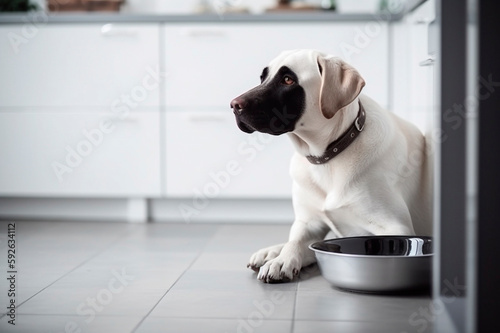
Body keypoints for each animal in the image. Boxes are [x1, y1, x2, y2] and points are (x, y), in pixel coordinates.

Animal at [230, 50, 430, 282]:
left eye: (288, 80)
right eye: (263, 78)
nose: (234, 105)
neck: (327, 158)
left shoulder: (395, 227)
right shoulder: (308, 222)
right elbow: (295, 240)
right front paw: (281, 259)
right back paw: (270, 252)